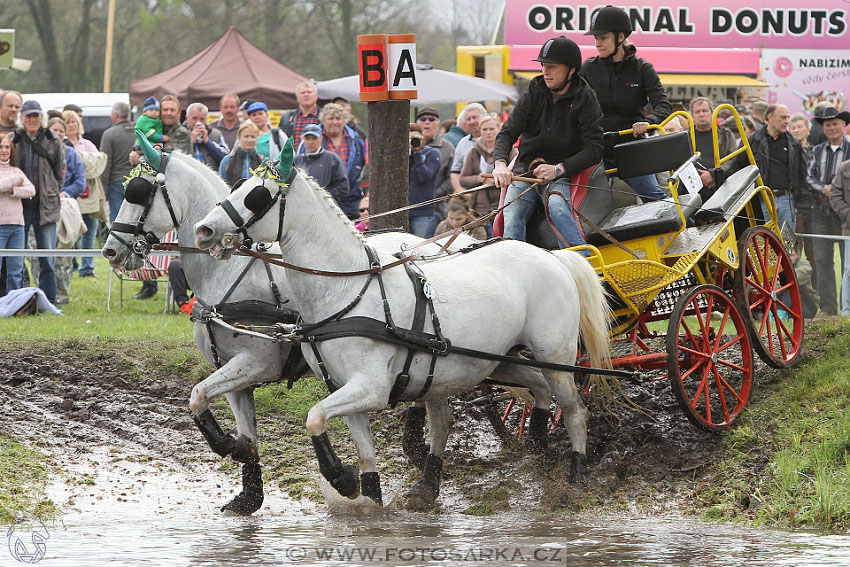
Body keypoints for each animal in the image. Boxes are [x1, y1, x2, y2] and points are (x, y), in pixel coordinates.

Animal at [104, 136, 548, 516]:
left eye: (138, 192)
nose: (109, 250)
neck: (229, 276)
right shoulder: (232, 371)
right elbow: (219, 411)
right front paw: (246, 480)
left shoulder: (254, 362)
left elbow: (198, 397)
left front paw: (233, 448)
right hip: (487, 358)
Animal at [195, 153, 612, 508]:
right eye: (238, 185)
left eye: (257, 196)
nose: (203, 230)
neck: (348, 289)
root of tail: (553, 255)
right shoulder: (343, 388)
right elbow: (360, 451)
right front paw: (365, 495)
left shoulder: (371, 388)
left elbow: (313, 417)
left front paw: (341, 478)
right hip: (497, 361)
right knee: (533, 391)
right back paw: (530, 448)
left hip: (556, 357)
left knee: (573, 409)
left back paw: (575, 476)